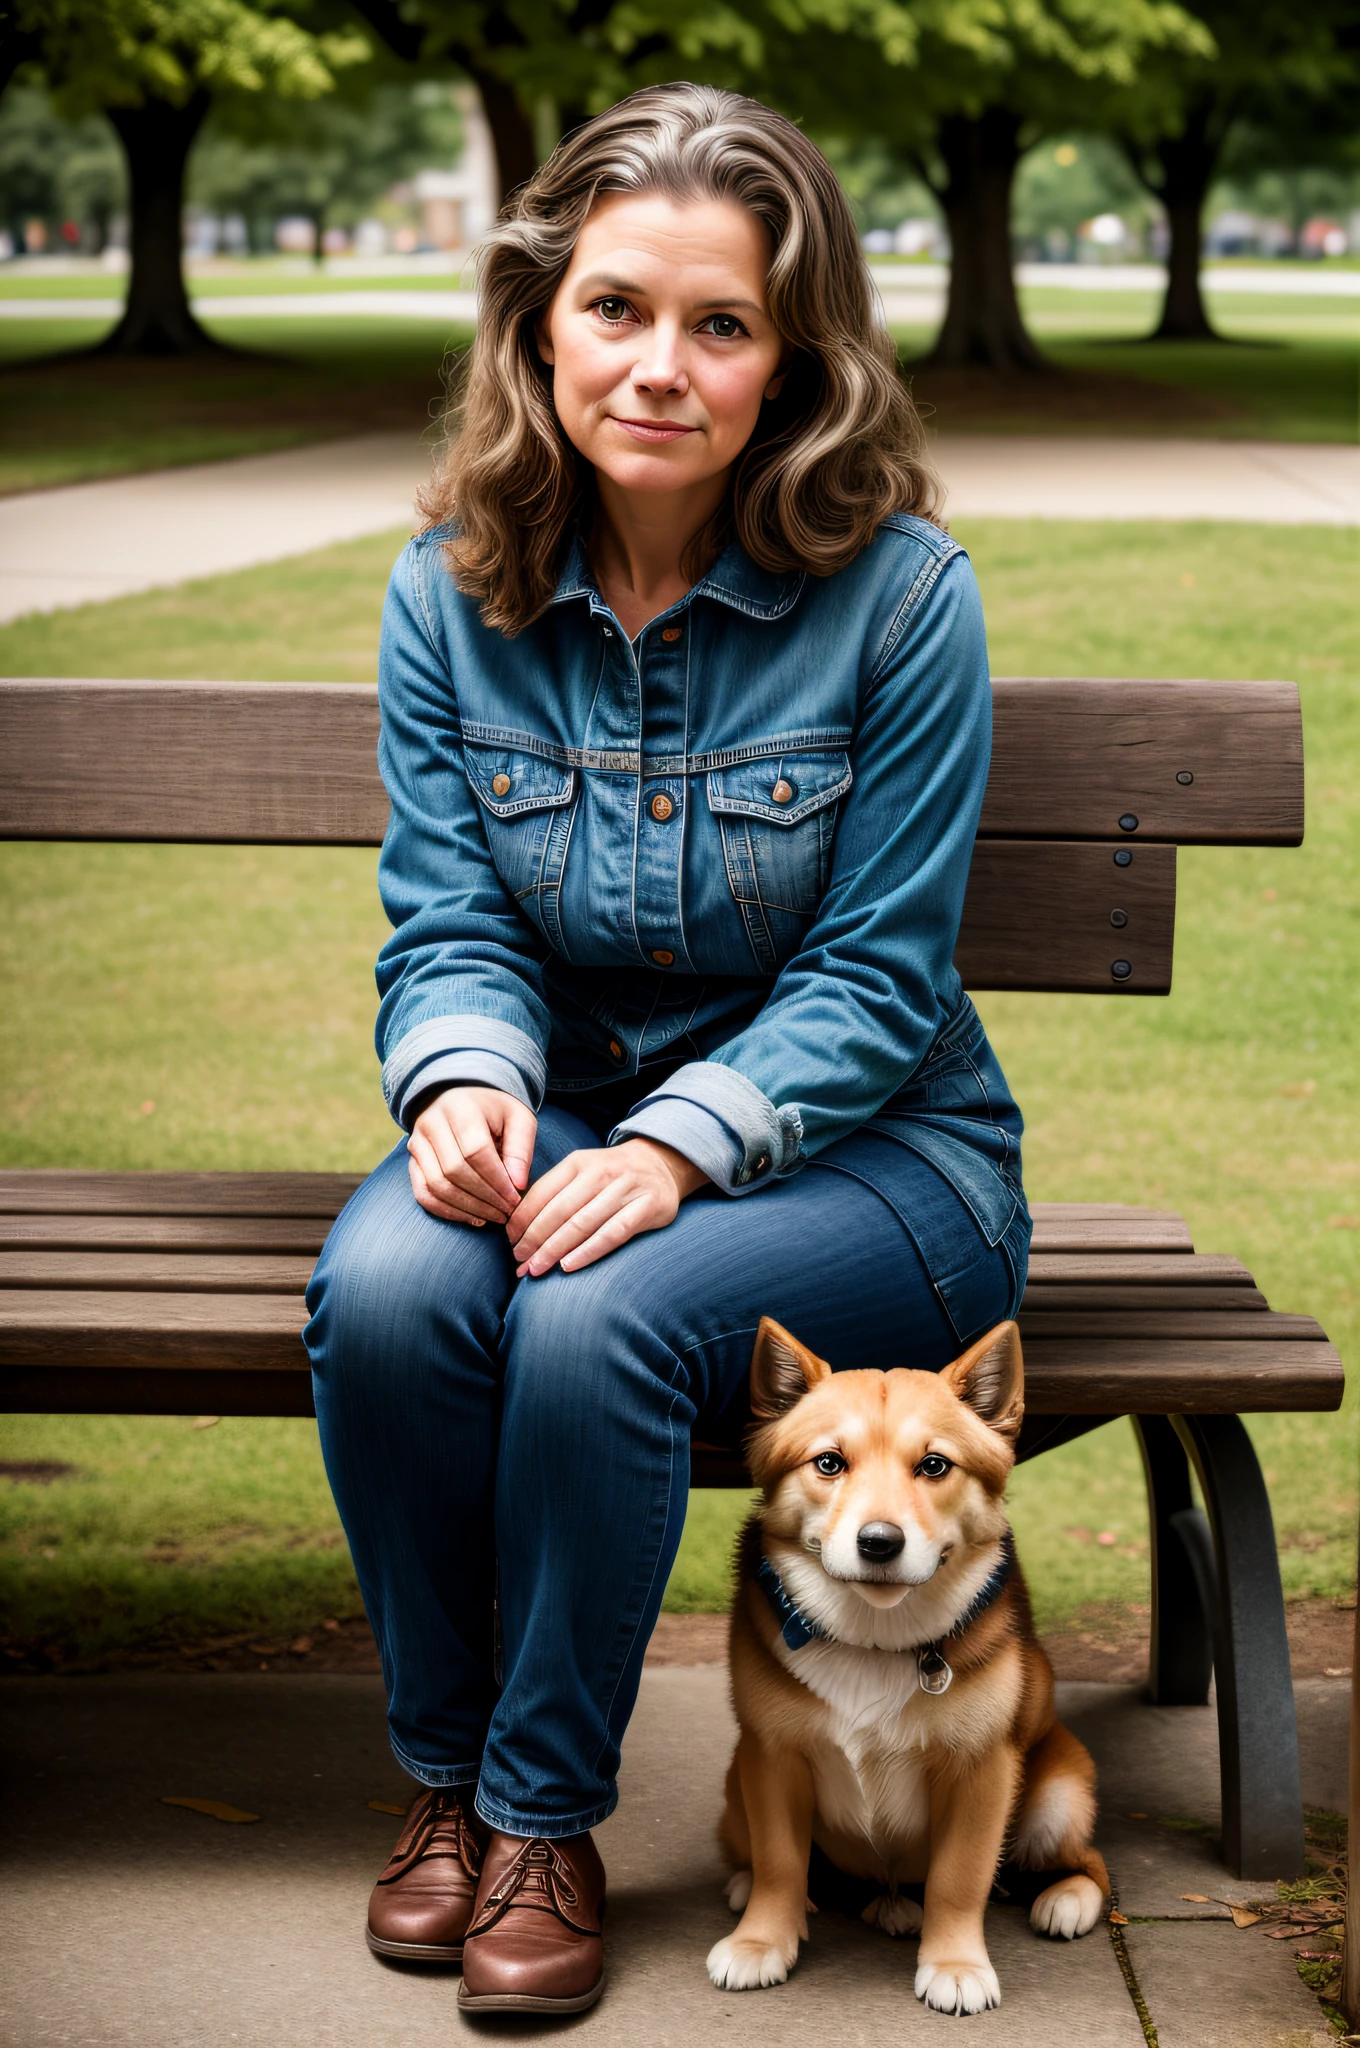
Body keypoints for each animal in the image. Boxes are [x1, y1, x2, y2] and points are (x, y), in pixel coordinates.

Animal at [704, 1310, 1114, 2015]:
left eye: (934, 1465)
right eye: (829, 1462)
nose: (878, 1543)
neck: (874, 1637)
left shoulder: (981, 1771)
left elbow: (960, 1876)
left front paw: (955, 1964)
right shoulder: (771, 1755)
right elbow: (781, 1862)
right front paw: (762, 1940)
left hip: (1057, 1799)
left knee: (1090, 1865)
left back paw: (1064, 1900)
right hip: (734, 1786)